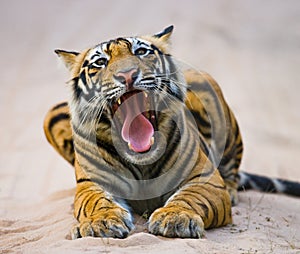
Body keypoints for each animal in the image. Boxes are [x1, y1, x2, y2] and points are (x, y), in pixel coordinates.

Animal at [42, 25, 300, 238]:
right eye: (100, 63)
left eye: (141, 51)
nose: (127, 74)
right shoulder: (94, 184)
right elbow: (96, 203)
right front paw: (101, 223)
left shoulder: (204, 179)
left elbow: (191, 198)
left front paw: (175, 218)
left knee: (232, 172)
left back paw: (231, 191)